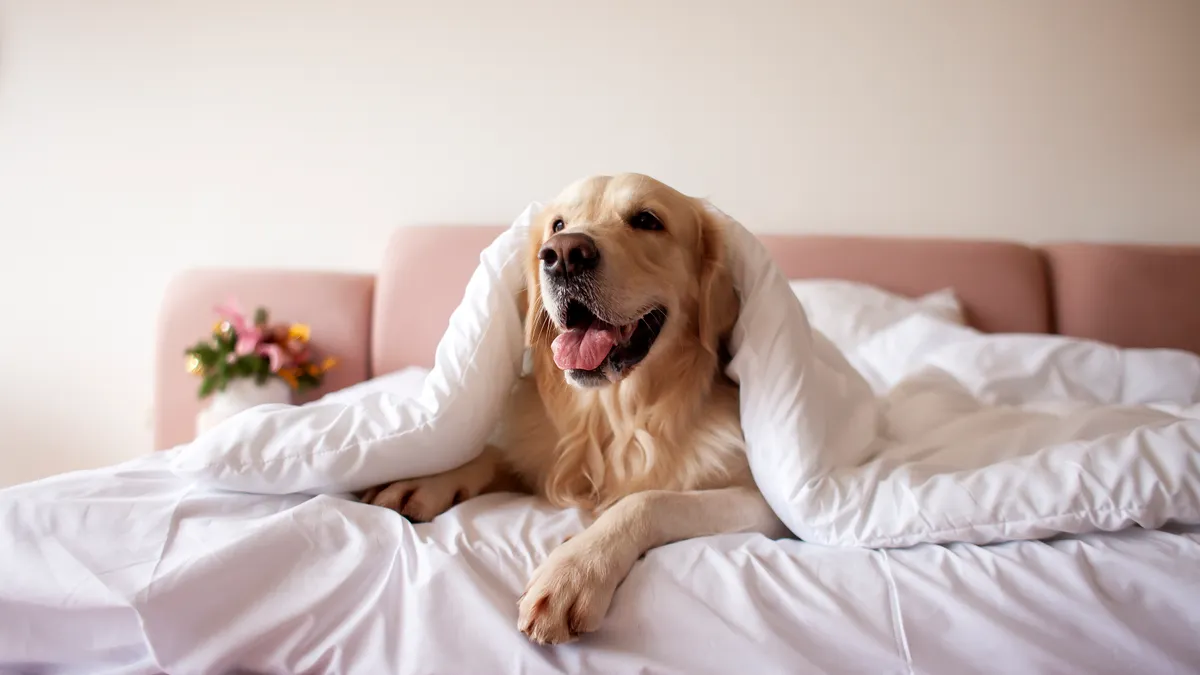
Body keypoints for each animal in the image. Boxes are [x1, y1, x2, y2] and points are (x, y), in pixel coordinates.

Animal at [360, 172, 787, 638]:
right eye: (559, 225)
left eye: (647, 220)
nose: (563, 255)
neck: (612, 419)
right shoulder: (539, 454)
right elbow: (492, 453)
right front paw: (425, 479)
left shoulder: (765, 506)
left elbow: (649, 500)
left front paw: (576, 568)